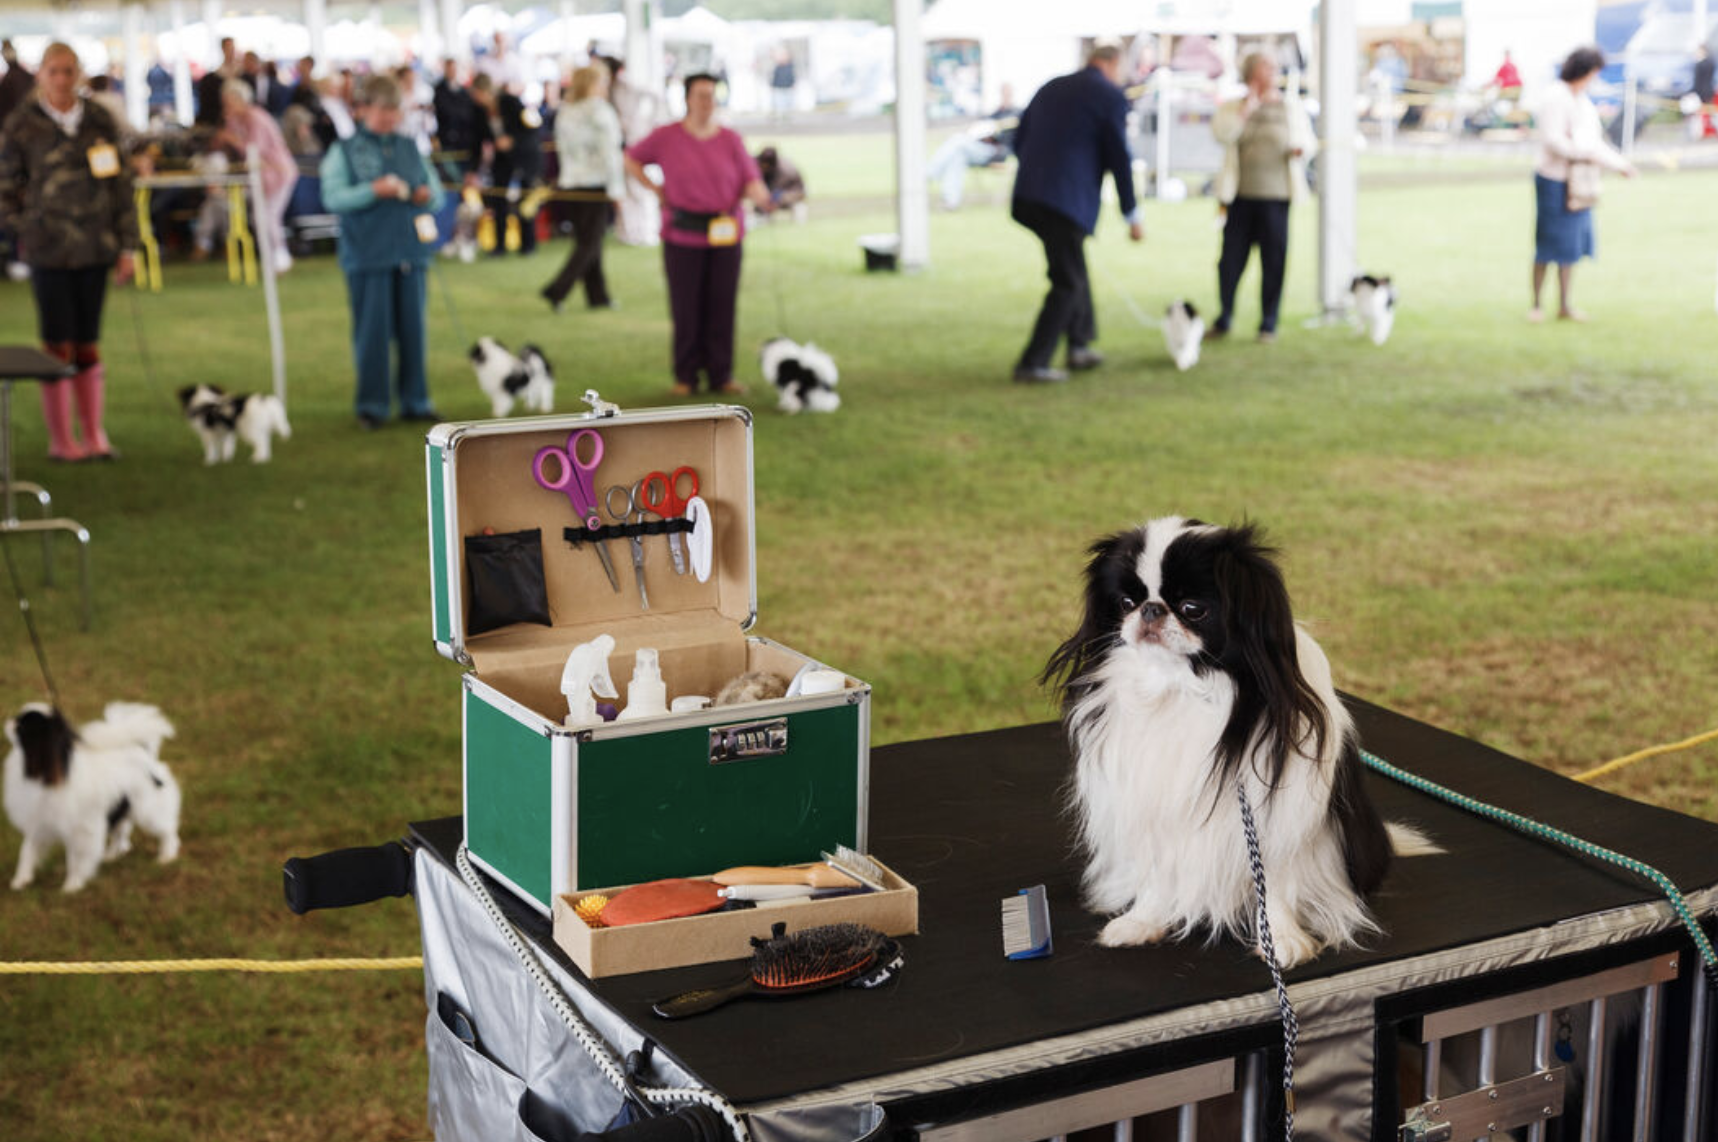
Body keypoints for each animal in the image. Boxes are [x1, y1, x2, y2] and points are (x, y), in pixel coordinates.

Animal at [5, 700, 181, 892]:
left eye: (21, 726)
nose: (8, 721)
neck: (47, 775)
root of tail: (141, 751)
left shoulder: (80, 831)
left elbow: (75, 861)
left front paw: (72, 886)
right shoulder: (39, 822)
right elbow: (27, 852)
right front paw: (20, 880)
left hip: (148, 811)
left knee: (167, 831)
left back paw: (166, 856)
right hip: (120, 808)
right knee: (120, 832)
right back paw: (112, 855)